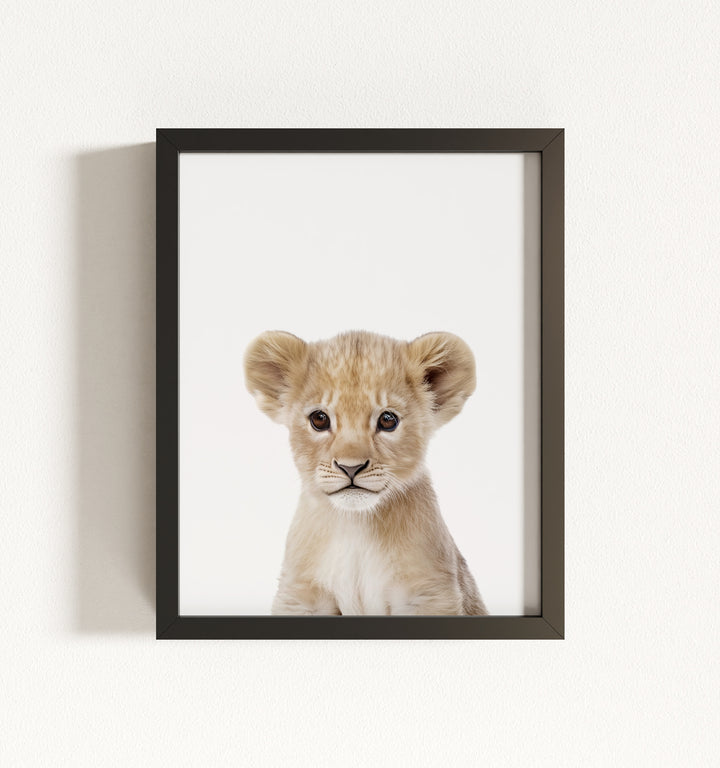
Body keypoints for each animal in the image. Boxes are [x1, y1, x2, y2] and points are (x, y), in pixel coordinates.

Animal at [244, 329, 488, 616]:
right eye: (319, 419)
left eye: (388, 420)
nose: (351, 467)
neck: (356, 526)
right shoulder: (300, 596)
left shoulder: (429, 592)